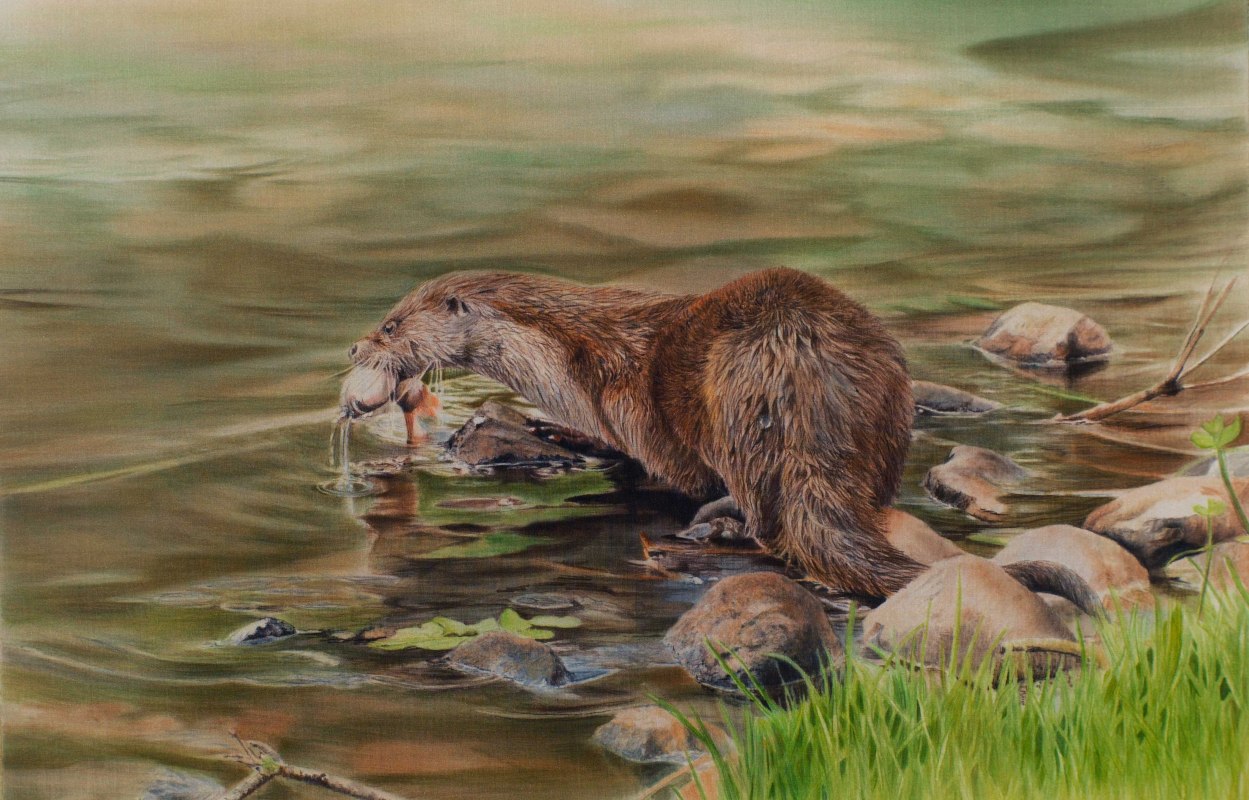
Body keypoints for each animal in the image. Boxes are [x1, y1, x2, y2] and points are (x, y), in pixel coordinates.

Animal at [340, 268, 1100, 610]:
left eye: (390, 324)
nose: (353, 346)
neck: (573, 357)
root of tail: (806, 381)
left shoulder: (628, 402)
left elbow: (656, 468)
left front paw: (558, 431)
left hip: (734, 417)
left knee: (767, 524)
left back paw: (712, 536)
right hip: (888, 408)